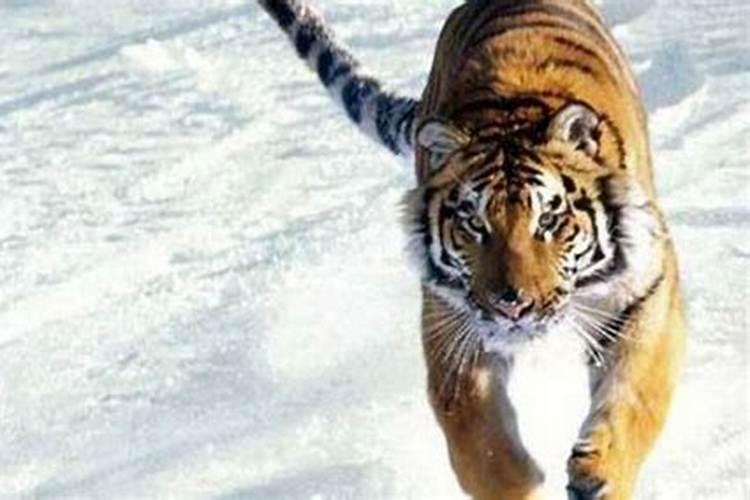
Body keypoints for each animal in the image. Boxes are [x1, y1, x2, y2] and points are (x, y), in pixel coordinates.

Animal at [256, 1, 686, 499]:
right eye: (474, 224)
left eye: (549, 220)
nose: (513, 305)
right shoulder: (449, 319)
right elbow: (477, 440)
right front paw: (521, 483)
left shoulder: (645, 293)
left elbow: (634, 396)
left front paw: (600, 475)